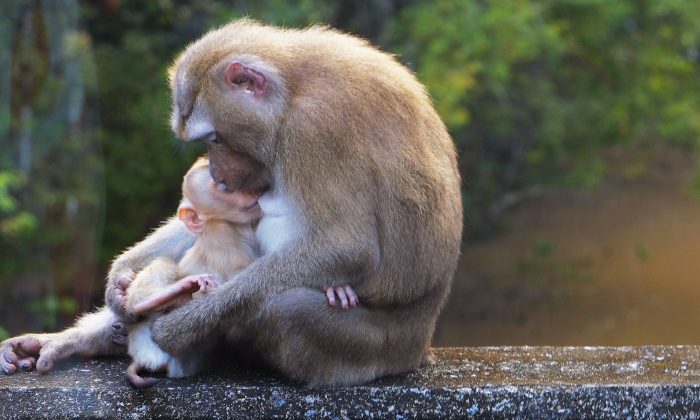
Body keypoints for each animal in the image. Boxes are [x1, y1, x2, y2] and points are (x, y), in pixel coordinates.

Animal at [1, 19, 461, 387]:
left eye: (215, 138)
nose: (218, 171)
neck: (294, 88)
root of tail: (420, 348)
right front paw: (118, 280)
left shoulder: (315, 128)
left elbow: (348, 247)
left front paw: (181, 326)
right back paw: (95, 336)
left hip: (381, 350)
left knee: (285, 308)